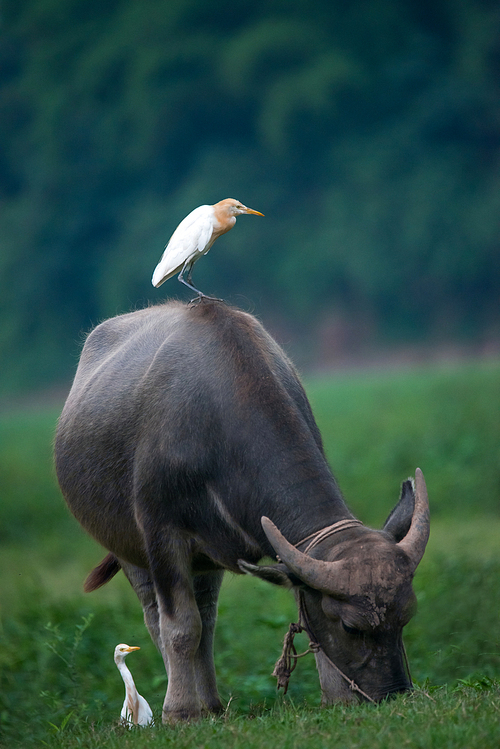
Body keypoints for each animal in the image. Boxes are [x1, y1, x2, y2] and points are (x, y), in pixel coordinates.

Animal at [54, 300, 430, 720]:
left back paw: (212, 705)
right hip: (127, 549)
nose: (394, 693)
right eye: (351, 627)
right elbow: (179, 627)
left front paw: (336, 698)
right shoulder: (161, 532)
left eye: (406, 616)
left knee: (207, 621)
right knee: (160, 620)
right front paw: (179, 712)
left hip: (205, 560)